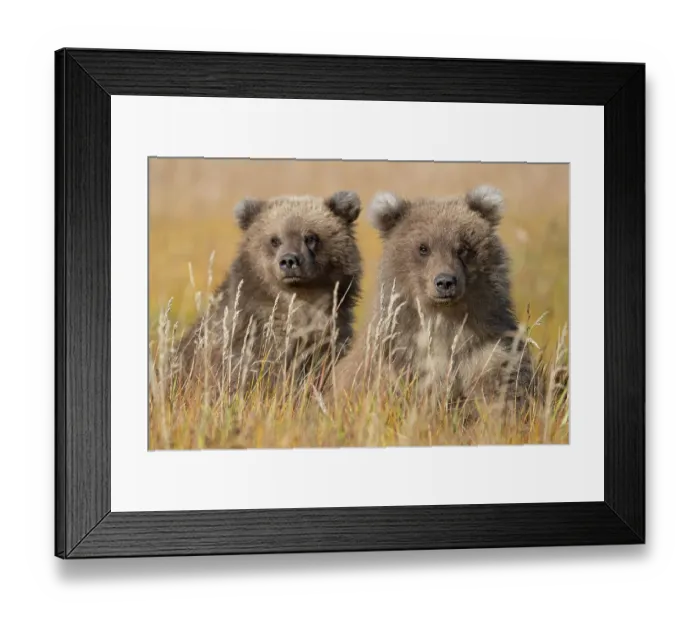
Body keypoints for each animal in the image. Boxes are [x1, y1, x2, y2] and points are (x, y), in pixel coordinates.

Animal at [330, 185, 534, 413]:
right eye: (423, 248)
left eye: (463, 248)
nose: (445, 282)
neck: (445, 319)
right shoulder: (399, 357)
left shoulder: (489, 350)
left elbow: (500, 391)